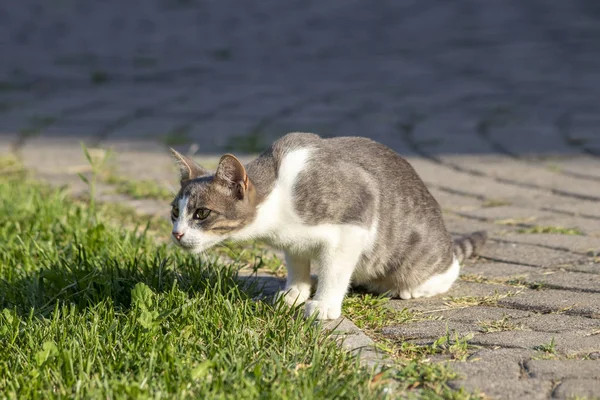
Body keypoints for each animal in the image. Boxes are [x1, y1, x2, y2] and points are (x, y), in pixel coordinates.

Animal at [169, 133, 488, 320]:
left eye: (201, 213)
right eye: (175, 212)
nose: (177, 233)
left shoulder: (355, 217)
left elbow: (335, 271)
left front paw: (323, 304)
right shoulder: (292, 241)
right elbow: (296, 263)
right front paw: (295, 293)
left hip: (414, 256)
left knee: (445, 267)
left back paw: (414, 287)